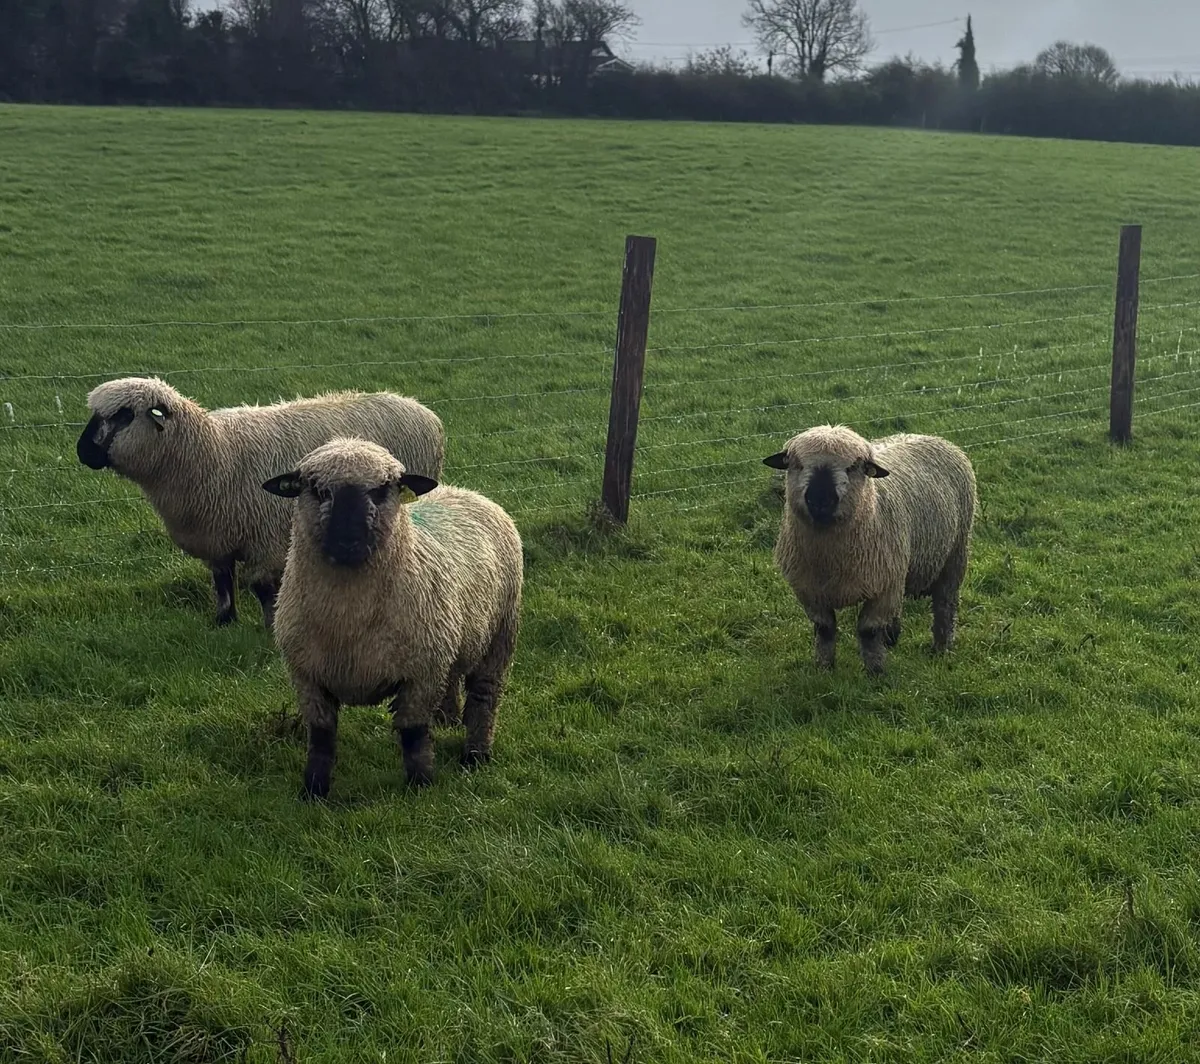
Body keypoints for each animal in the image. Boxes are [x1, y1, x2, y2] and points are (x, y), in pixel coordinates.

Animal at [76, 377, 444, 629]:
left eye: (124, 415)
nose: (83, 452)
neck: (211, 453)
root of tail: (420, 408)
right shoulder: (216, 536)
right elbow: (223, 581)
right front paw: (224, 621)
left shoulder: (264, 536)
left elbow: (263, 587)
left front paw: (270, 625)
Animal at [263, 437, 523, 799]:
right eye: (317, 489)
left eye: (383, 488)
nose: (348, 539)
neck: (349, 618)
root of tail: (465, 491)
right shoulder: (307, 676)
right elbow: (321, 738)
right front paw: (313, 791)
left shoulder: (420, 673)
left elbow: (413, 734)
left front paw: (420, 785)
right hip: (451, 636)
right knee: (452, 678)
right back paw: (447, 719)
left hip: (499, 635)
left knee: (484, 697)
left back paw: (476, 754)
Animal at [763, 424, 977, 675]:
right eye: (797, 464)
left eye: (853, 467)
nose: (820, 500)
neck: (829, 558)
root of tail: (931, 437)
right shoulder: (809, 590)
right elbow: (824, 629)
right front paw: (824, 668)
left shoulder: (883, 587)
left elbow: (869, 631)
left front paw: (875, 672)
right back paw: (893, 635)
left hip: (955, 553)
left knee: (945, 603)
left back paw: (941, 648)